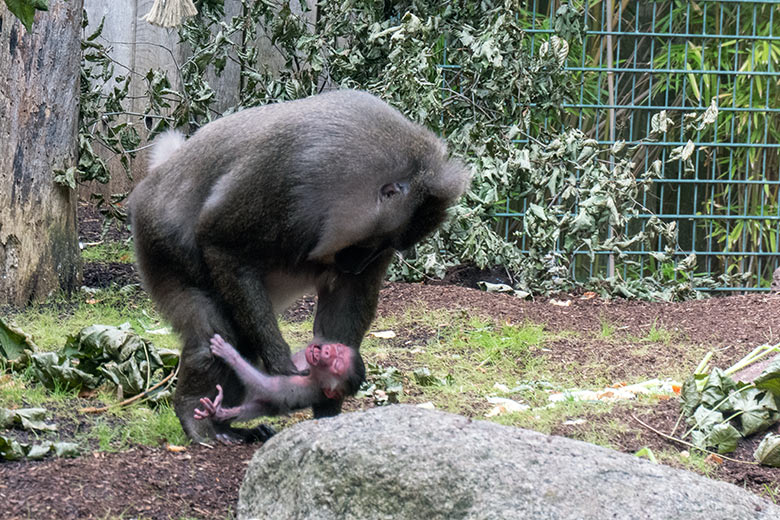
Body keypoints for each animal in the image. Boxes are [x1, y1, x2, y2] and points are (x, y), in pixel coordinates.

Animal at [129, 89, 470, 442]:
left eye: (387, 248)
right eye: (377, 242)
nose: (357, 265)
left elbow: (346, 301)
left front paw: (328, 411)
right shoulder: (288, 173)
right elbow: (220, 242)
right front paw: (280, 363)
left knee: (243, 342)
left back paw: (228, 425)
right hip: (162, 247)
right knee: (211, 334)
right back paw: (197, 420)